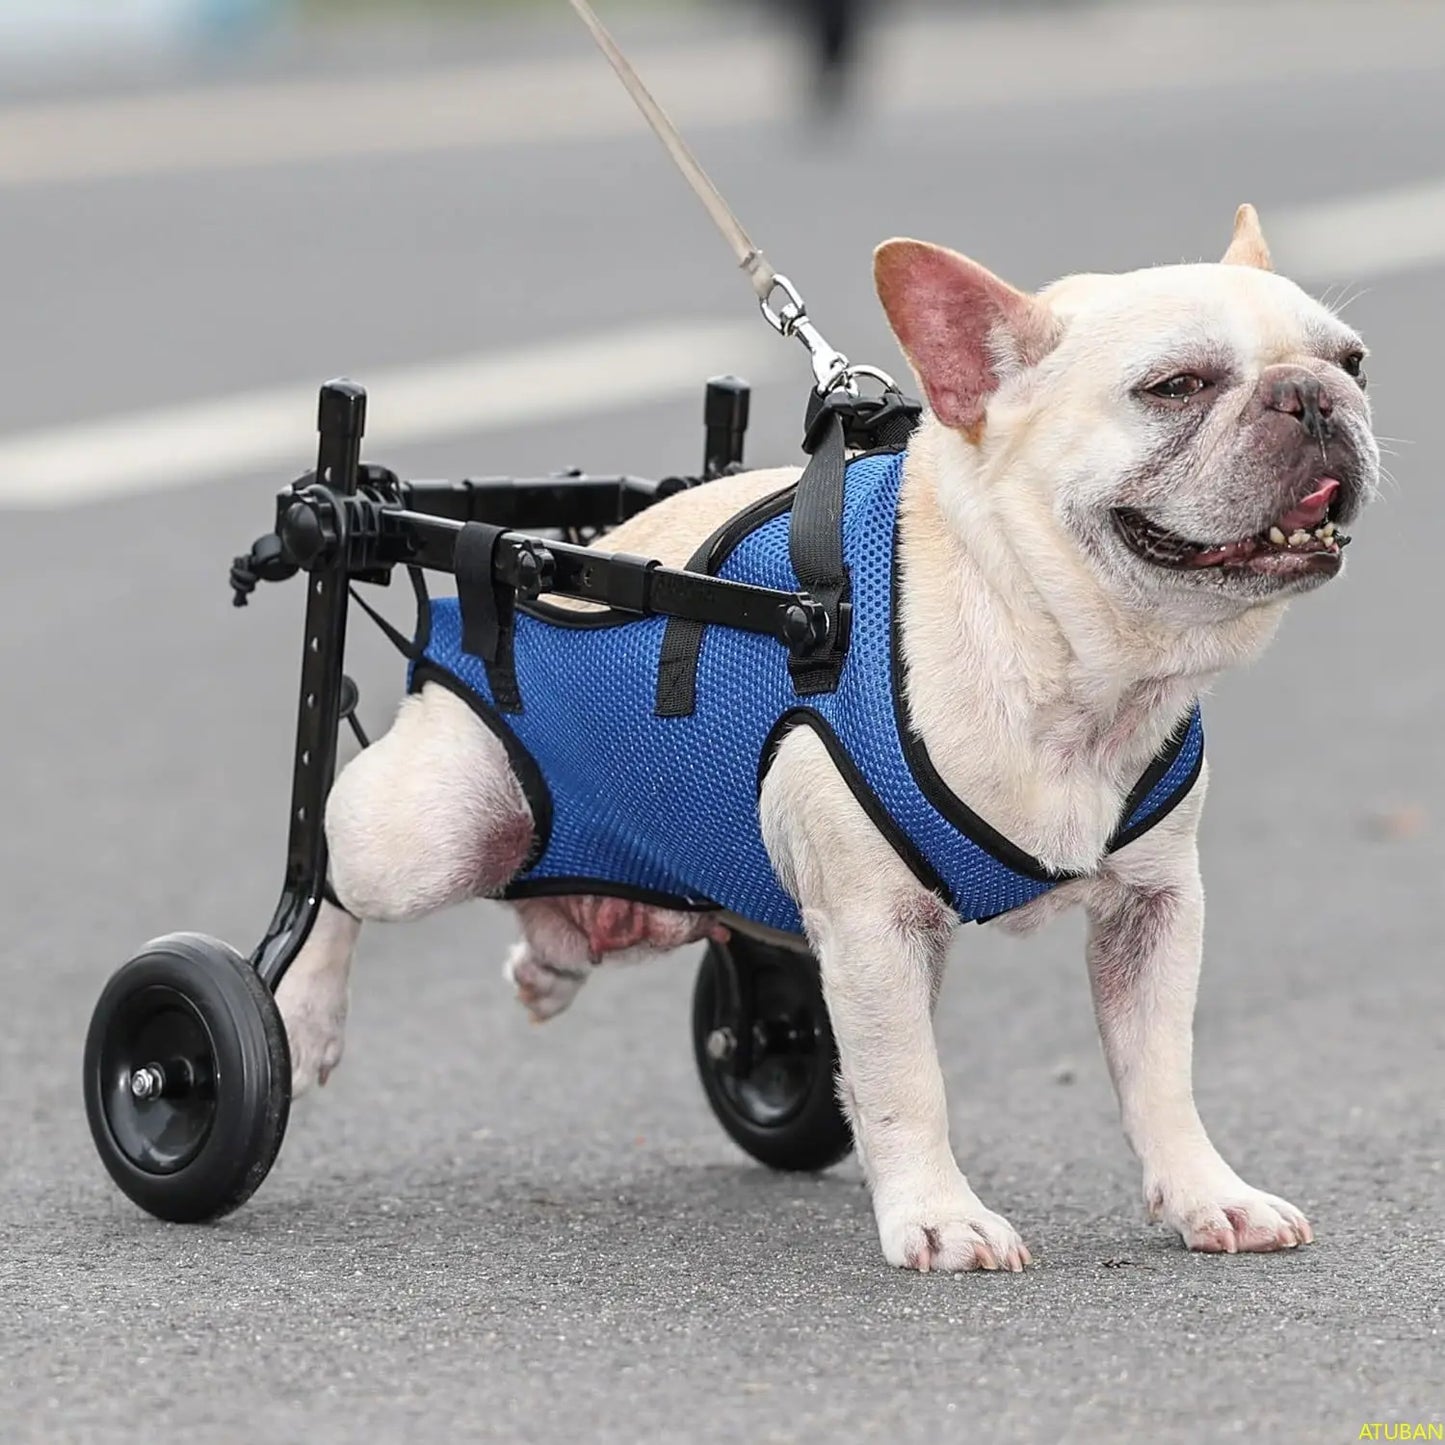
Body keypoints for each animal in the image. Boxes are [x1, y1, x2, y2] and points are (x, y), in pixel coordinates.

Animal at [278, 206, 1375, 1277]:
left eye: (1352, 360)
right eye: (1174, 386)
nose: (1311, 396)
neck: (1068, 665)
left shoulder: (1152, 910)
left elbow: (1158, 1069)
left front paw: (1205, 1193)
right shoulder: (874, 926)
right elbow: (905, 1078)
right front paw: (939, 1216)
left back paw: (556, 959)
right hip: (430, 832)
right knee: (330, 862)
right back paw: (301, 1014)